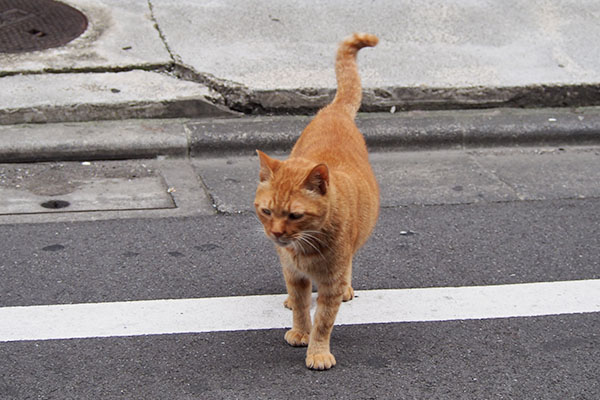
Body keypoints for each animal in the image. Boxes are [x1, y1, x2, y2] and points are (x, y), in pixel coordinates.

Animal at [254, 32, 380, 370]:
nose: (276, 233)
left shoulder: (330, 282)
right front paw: (301, 331)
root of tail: (334, 111)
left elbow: (324, 320)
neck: (304, 248)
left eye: (295, 215)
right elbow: (301, 306)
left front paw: (318, 351)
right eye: (267, 211)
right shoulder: (294, 274)